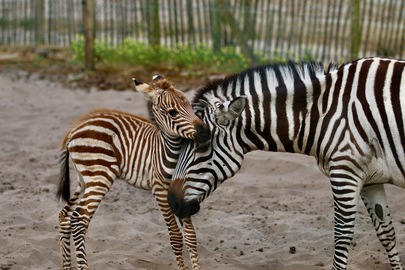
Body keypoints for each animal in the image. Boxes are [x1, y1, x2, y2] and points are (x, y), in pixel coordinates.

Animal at [57, 74, 210, 270]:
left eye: (190, 106)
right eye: (172, 112)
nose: (206, 132)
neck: (169, 151)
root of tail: (74, 129)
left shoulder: (180, 192)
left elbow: (190, 236)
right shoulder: (160, 190)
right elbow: (176, 237)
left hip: (84, 178)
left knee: (65, 216)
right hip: (100, 177)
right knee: (79, 219)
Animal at [166, 57, 404, 270]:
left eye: (203, 144)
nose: (172, 203)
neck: (321, 114)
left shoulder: (345, 172)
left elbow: (342, 237)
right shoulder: (370, 180)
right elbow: (386, 233)